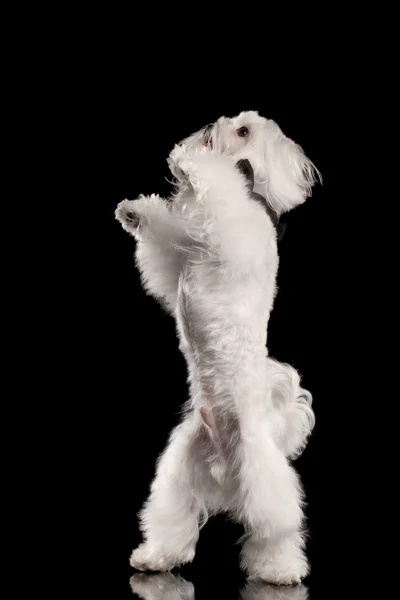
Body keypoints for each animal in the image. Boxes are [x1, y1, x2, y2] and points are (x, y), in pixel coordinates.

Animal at [115, 110, 318, 584]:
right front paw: (136, 210)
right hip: (180, 468)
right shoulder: (177, 258)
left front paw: (187, 160)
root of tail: (225, 462)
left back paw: (280, 569)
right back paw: (155, 559)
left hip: (260, 471)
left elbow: (221, 186)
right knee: (174, 518)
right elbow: (163, 246)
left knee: (275, 524)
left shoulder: (234, 231)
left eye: (243, 130)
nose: (215, 124)